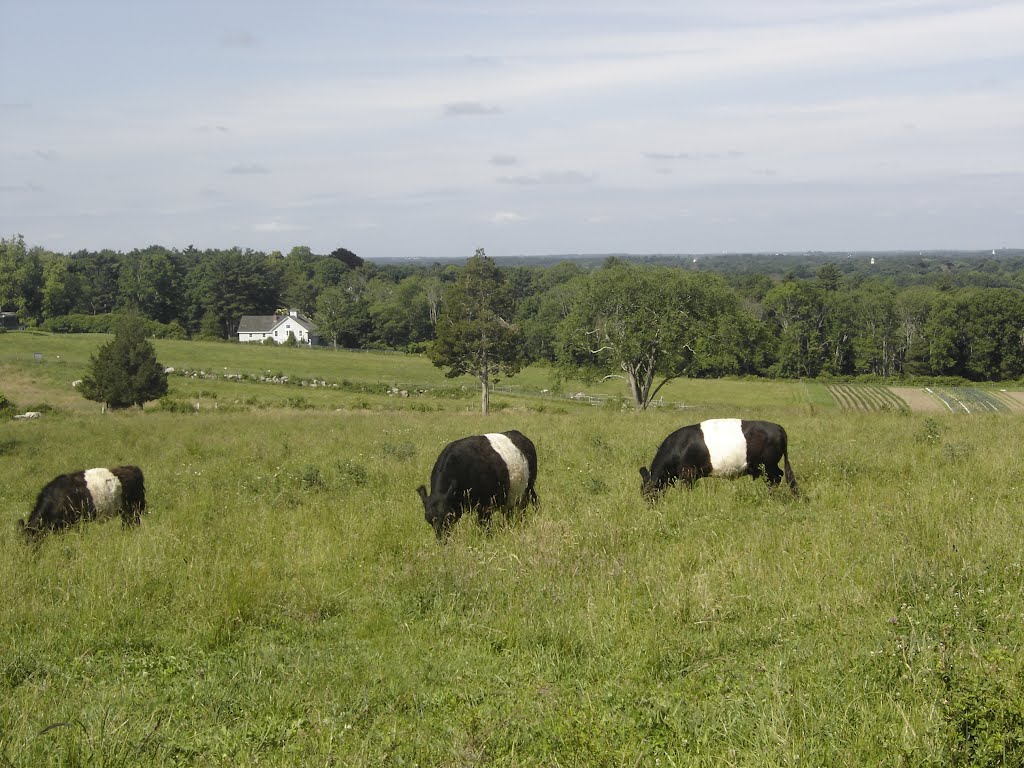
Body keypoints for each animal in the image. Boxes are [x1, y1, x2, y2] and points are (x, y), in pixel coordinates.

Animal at [638, 417, 798, 501]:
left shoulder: (687, 473)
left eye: (647, 492)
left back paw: (770, 497)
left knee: (776, 477)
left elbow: (686, 490)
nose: (649, 506)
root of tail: (777, 427)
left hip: (768, 465)